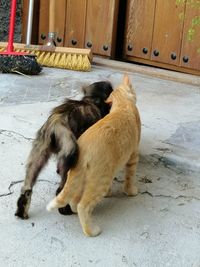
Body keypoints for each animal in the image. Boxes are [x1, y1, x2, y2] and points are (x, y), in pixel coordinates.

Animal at [47, 75, 141, 237]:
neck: (123, 104)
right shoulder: (133, 155)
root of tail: (81, 149)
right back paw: (92, 231)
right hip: (100, 180)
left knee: (74, 199)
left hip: (83, 177)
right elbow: (130, 177)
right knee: (82, 205)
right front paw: (130, 191)